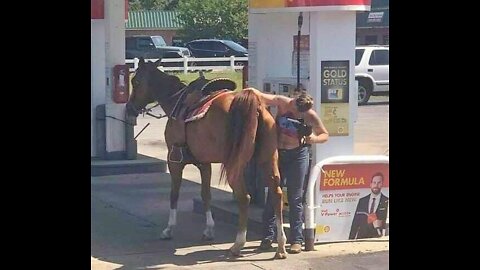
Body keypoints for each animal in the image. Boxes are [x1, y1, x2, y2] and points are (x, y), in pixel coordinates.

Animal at [125, 58, 286, 258]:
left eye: (135, 81)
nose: (129, 108)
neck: (176, 103)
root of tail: (253, 104)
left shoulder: (174, 161)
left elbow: (174, 194)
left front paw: (169, 229)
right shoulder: (204, 163)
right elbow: (206, 194)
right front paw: (209, 230)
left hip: (234, 164)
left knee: (244, 197)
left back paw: (238, 244)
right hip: (268, 159)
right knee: (277, 193)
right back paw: (280, 245)